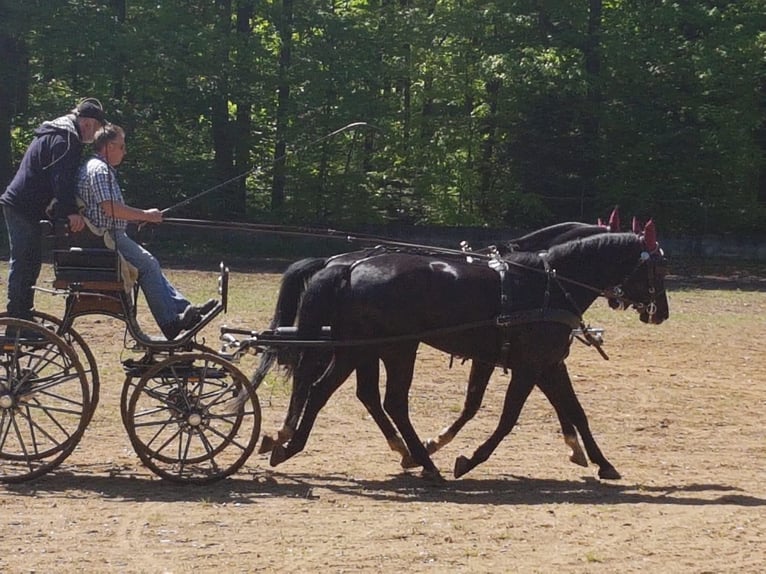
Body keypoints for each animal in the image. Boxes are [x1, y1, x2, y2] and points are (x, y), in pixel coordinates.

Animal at [262, 225, 664, 482]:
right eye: (656, 268)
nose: (661, 312)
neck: (547, 284)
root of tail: (347, 267)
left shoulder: (544, 363)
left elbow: (574, 411)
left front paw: (600, 461)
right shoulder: (530, 366)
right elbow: (507, 418)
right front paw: (469, 459)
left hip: (362, 350)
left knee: (339, 392)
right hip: (394, 349)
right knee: (378, 399)